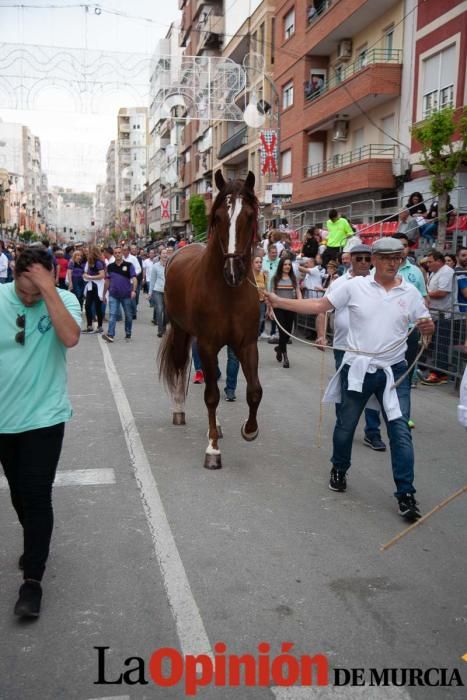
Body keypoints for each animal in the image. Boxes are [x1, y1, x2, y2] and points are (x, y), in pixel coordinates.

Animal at [159, 168, 264, 470]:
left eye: (249, 216)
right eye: (217, 217)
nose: (233, 271)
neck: (227, 292)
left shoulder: (247, 344)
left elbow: (254, 391)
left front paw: (249, 430)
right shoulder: (205, 344)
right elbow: (211, 395)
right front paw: (213, 450)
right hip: (180, 331)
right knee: (180, 366)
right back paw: (180, 410)